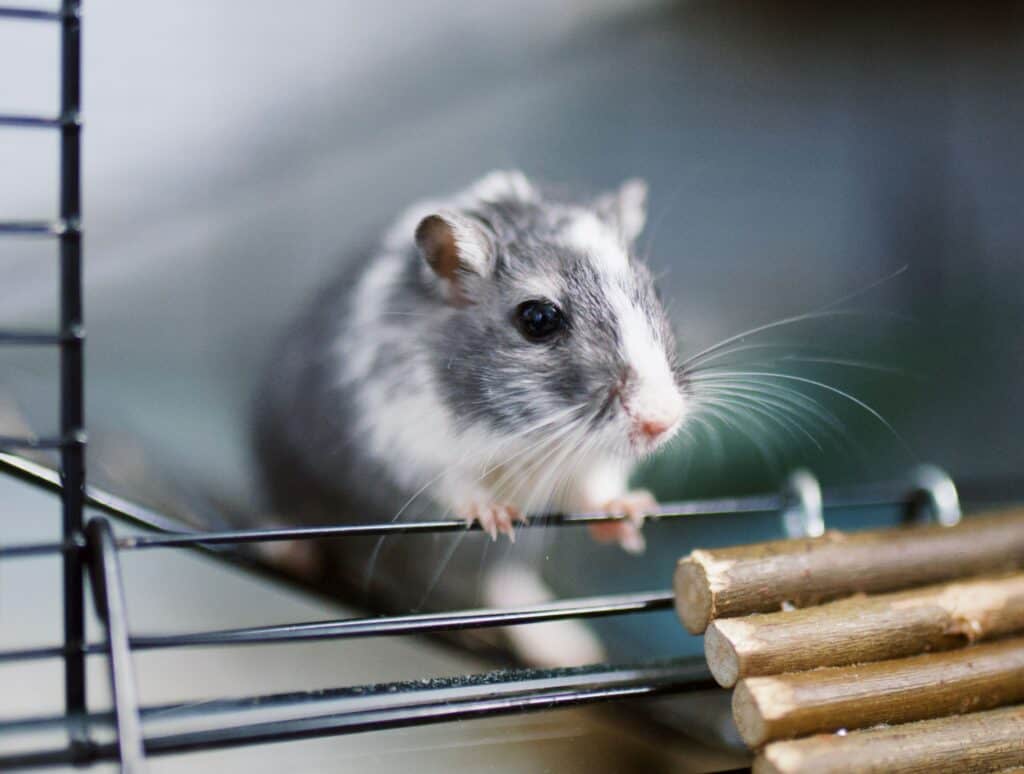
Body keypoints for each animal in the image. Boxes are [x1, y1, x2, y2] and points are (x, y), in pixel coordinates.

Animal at [252, 170, 686, 611]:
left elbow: (593, 486)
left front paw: (635, 515)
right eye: (538, 318)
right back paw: (287, 551)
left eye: (654, 291)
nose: (663, 422)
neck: (514, 433)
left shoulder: (585, 462)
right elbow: (455, 483)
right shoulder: (406, 437)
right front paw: (499, 518)